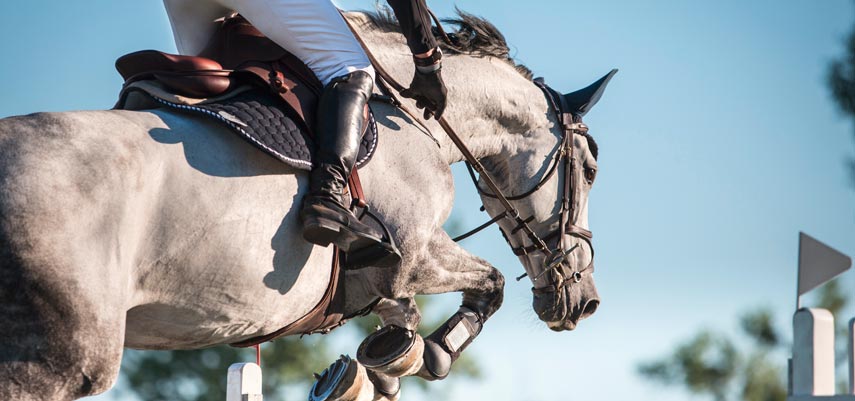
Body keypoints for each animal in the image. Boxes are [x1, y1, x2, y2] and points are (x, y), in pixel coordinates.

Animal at [0, 10, 612, 398]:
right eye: (590, 169)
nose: (585, 302)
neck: (408, 114)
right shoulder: (411, 253)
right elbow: (490, 284)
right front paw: (428, 355)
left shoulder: (384, 278)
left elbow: (408, 314)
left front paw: (385, 363)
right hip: (60, 359)